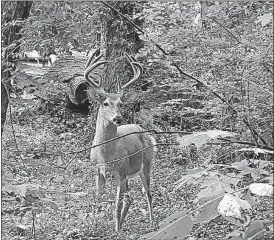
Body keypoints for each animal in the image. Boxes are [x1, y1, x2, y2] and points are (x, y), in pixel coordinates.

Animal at [86, 49, 156, 232]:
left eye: (121, 104)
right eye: (105, 103)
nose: (118, 118)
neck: (105, 154)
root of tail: (145, 132)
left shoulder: (120, 172)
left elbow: (116, 203)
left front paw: (115, 229)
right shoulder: (97, 169)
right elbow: (98, 198)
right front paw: (94, 224)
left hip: (146, 164)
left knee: (147, 193)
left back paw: (152, 222)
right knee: (130, 198)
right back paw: (123, 224)